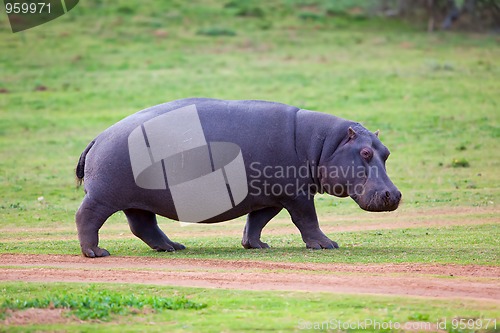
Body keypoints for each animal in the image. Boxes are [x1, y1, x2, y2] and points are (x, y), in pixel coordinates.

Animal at [75, 97, 402, 258]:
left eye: (386, 152)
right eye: (364, 153)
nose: (395, 195)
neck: (324, 145)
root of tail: (97, 137)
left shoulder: (271, 196)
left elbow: (257, 220)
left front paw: (256, 245)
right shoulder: (297, 195)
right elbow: (307, 219)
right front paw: (326, 245)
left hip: (136, 199)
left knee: (143, 225)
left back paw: (172, 247)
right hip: (104, 196)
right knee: (87, 217)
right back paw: (96, 253)